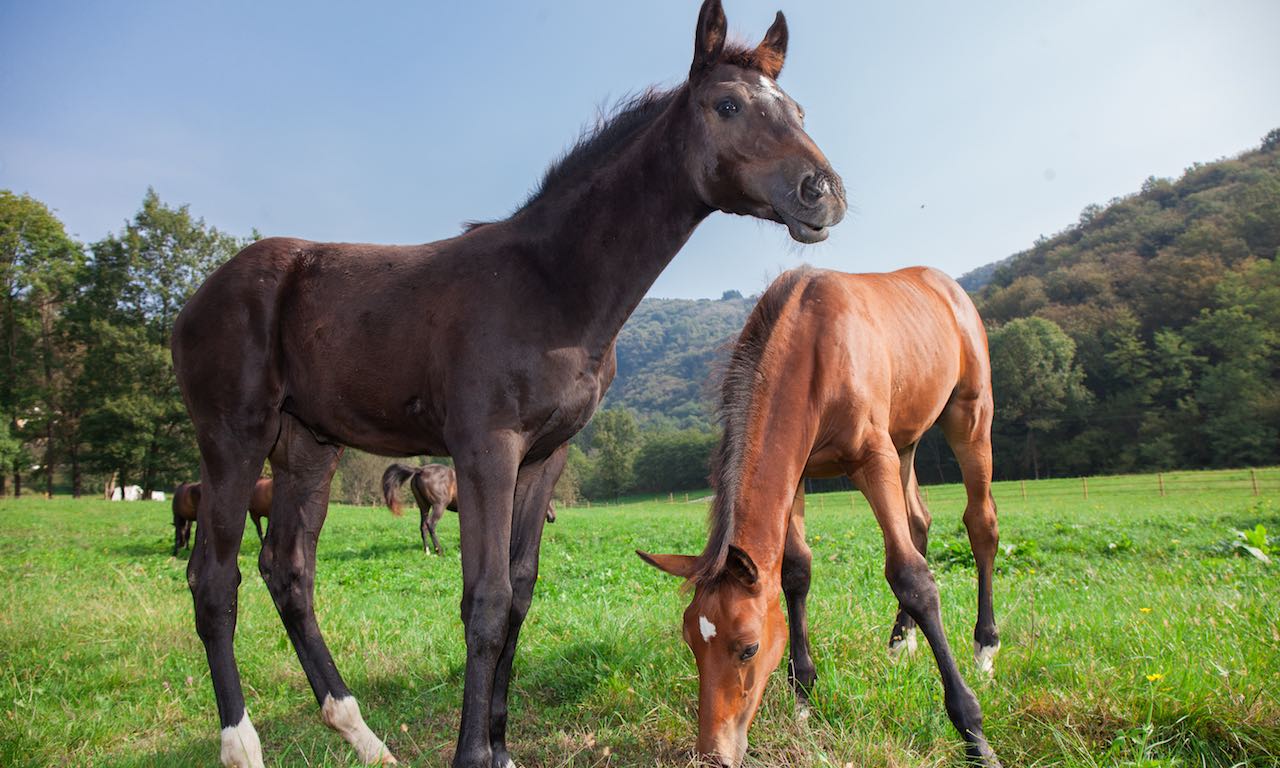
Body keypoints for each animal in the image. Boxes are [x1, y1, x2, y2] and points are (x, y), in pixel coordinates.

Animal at [382, 463, 555, 555]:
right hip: (438, 506)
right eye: (549, 498)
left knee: (423, 526)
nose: (553, 517)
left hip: (423, 506)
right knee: (431, 524)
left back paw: (427, 551)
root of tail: (421, 470)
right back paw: (439, 550)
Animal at [639, 266, 1001, 767]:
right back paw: (900, 640)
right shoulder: (798, 473)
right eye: (691, 640)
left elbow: (911, 577)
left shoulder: (873, 456)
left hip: (969, 415)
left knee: (980, 524)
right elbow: (795, 572)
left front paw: (973, 734)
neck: (814, 345)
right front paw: (803, 698)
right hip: (906, 439)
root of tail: (945, 284)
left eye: (748, 648)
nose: (713, 754)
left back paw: (985, 648)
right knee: (919, 522)